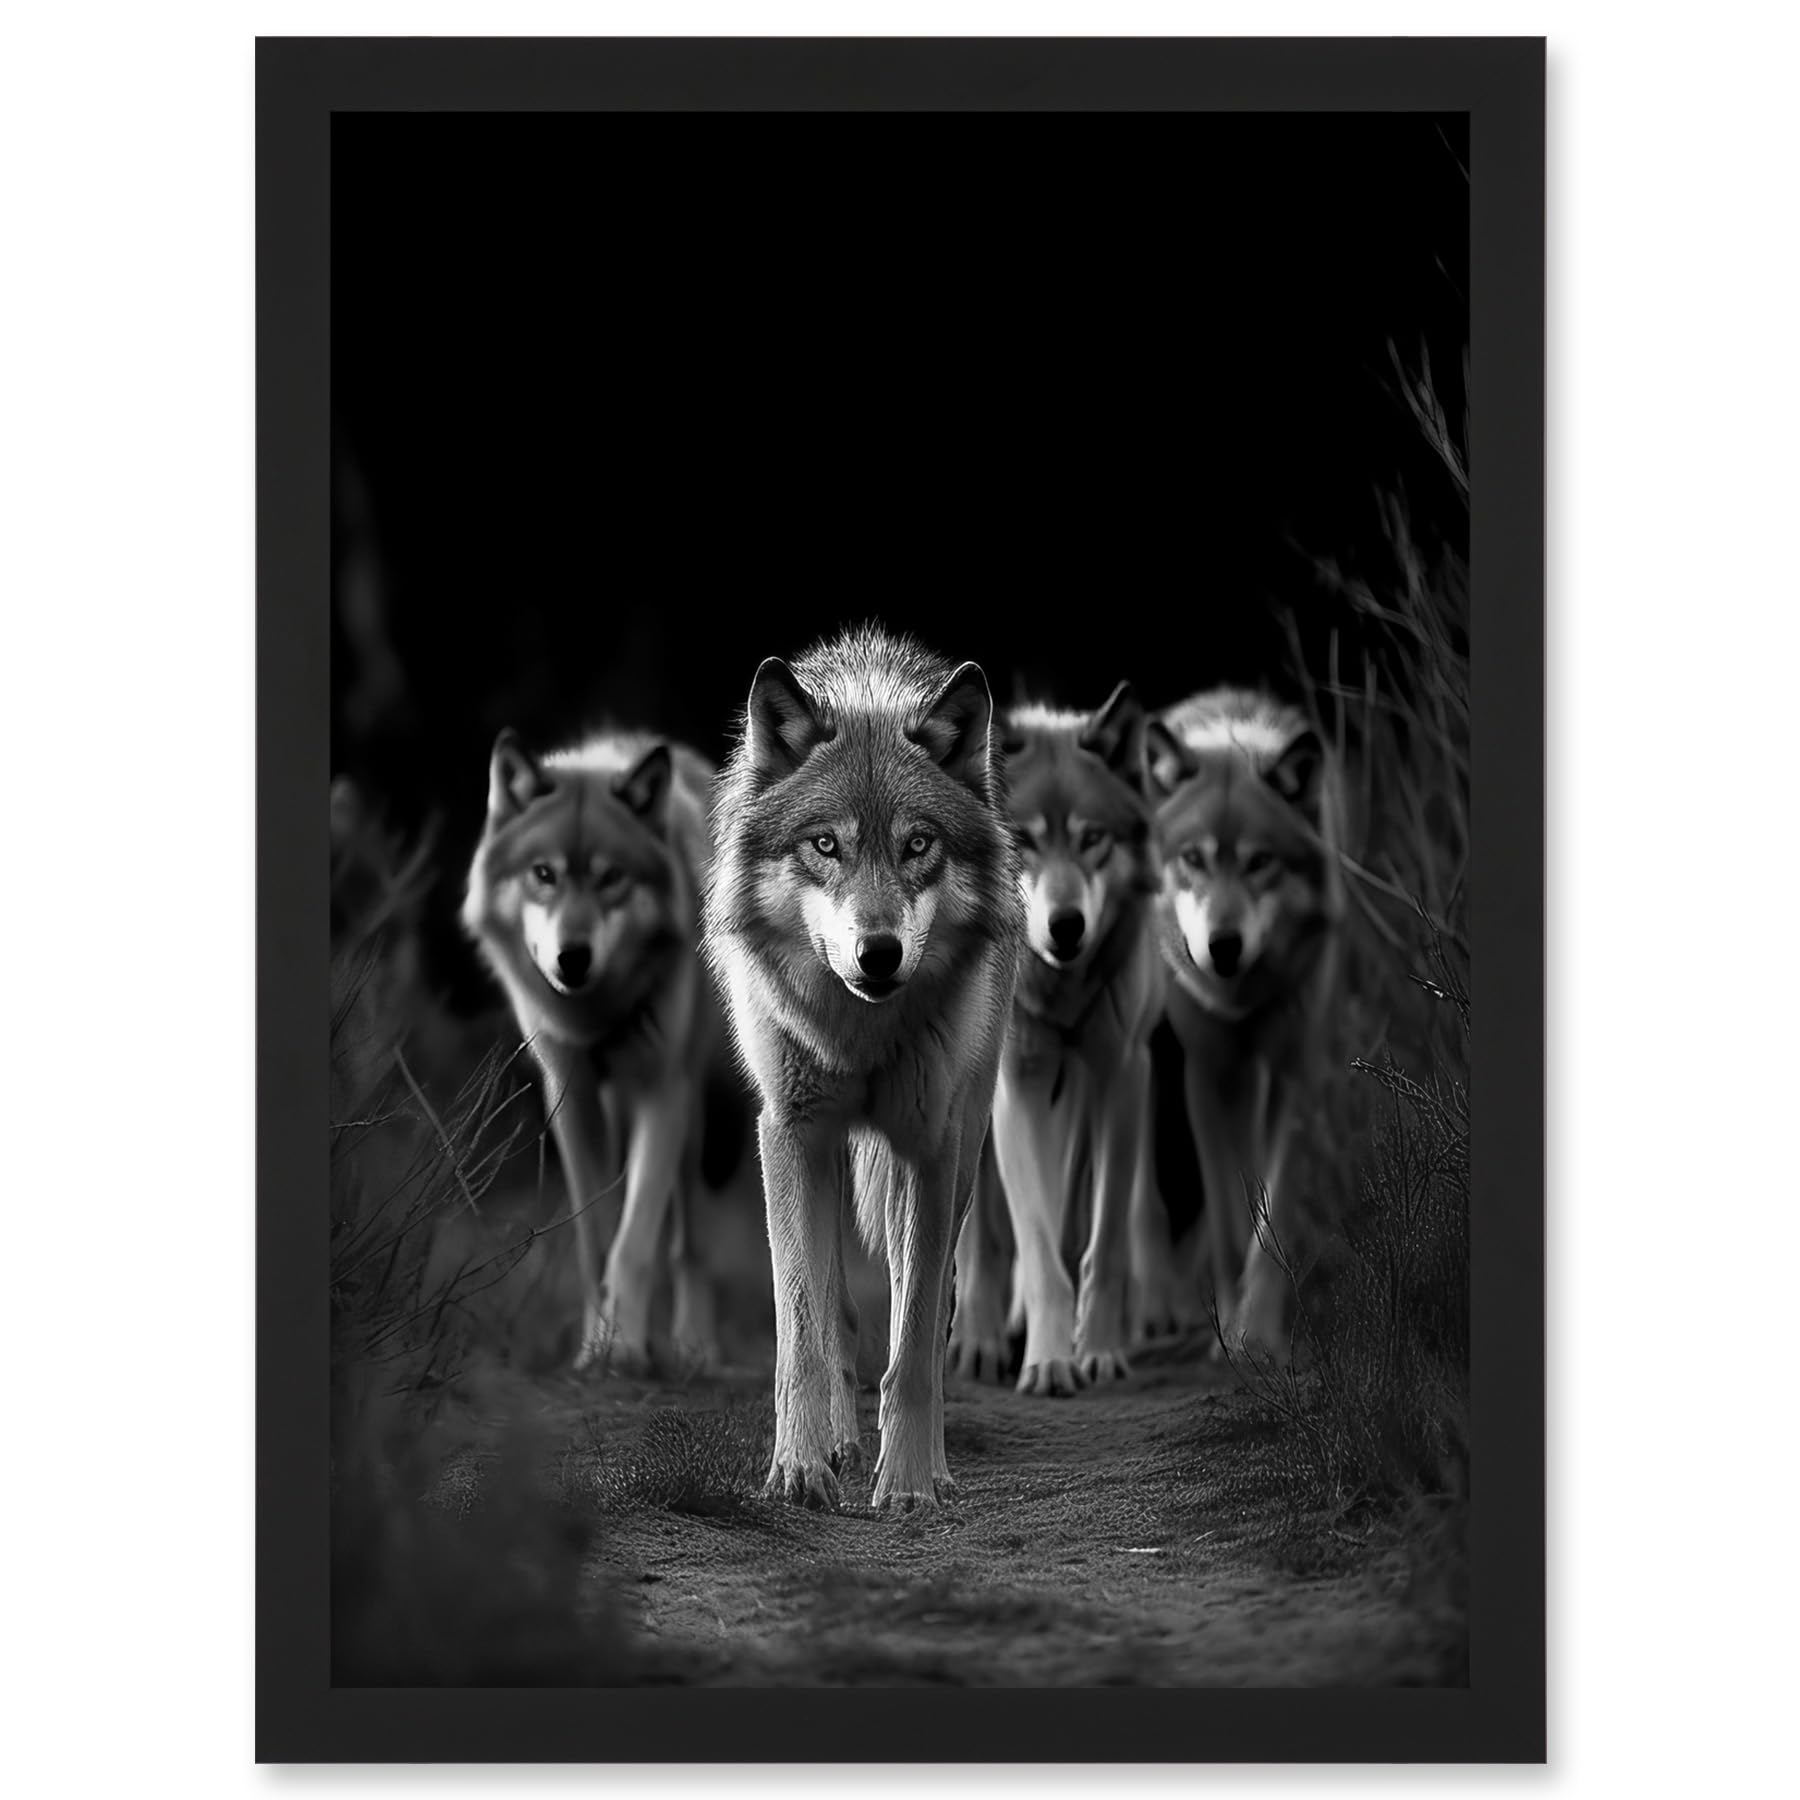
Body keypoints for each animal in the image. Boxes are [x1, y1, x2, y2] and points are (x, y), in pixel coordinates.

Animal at [461, 727, 736, 1372]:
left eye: (612, 877)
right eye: (544, 874)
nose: (573, 957)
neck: (598, 1020)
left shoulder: (664, 1094)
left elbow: (634, 1243)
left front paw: (627, 1349)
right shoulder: (572, 1101)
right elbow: (596, 1241)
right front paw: (596, 1347)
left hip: (693, 1112)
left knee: (688, 1242)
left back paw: (693, 1346)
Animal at [703, 623, 1022, 1514]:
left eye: (918, 845)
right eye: (826, 845)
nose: (877, 954)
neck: (861, 1036)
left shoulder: (931, 1147)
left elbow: (911, 1341)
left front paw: (910, 1482)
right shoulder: (787, 1133)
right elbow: (801, 1332)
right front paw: (799, 1468)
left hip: (967, 1140)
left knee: (933, 1296)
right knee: (837, 1312)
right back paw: (841, 1443)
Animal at [948, 683, 1177, 1396]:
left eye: (1092, 839)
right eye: (1023, 840)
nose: (1066, 925)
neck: (1059, 994)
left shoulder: (1119, 1077)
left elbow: (1099, 1244)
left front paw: (1096, 1351)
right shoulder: (1012, 1089)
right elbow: (1032, 1242)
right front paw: (1047, 1361)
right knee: (983, 1238)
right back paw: (978, 1340)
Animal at [1143, 688, 1347, 1355]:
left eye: (1260, 863)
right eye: (1193, 860)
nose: (1224, 946)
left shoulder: (1295, 1075)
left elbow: (1271, 1216)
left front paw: (1257, 1334)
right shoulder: (1209, 1075)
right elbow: (1232, 1226)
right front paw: (1229, 1338)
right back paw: (1155, 1308)